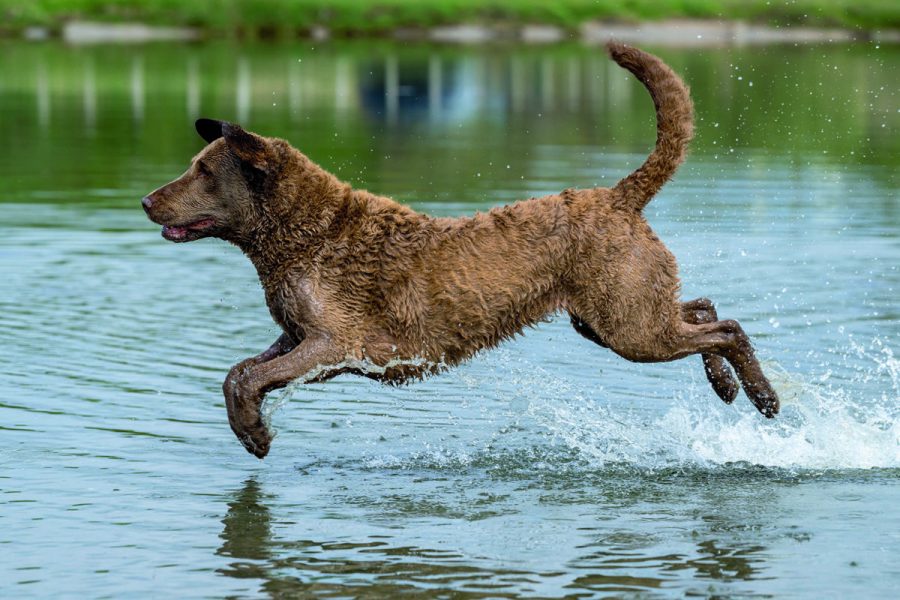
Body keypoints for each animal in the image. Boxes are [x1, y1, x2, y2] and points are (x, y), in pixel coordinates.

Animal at [144, 43, 776, 460]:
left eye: (203, 172)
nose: (148, 200)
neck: (308, 232)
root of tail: (618, 196)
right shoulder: (296, 337)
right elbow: (237, 373)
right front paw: (250, 428)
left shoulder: (333, 343)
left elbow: (251, 377)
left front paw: (254, 434)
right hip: (613, 314)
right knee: (702, 308)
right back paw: (725, 387)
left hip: (629, 327)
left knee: (728, 328)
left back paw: (763, 397)